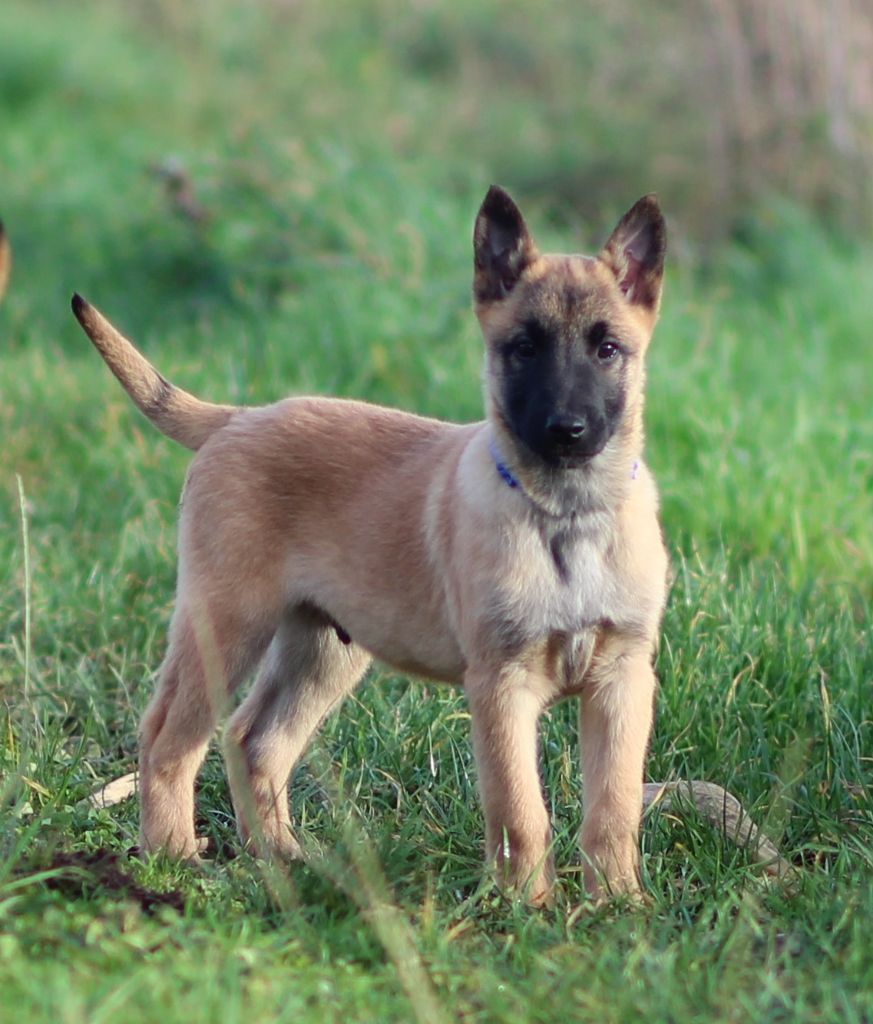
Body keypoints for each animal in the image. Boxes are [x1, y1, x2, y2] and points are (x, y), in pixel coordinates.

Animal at [73, 186, 667, 905]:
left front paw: (619, 904)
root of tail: (237, 419)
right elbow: (519, 809)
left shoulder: (622, 680)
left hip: (322, 650)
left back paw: (283, 859)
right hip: (227, 624)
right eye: (523, 348)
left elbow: (613, 807)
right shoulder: (501, 684)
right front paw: (525, 909)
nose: (567, 429)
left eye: (607, 349)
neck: (565, 517)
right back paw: (175, 861)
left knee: (254, 740)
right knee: (169, 738)